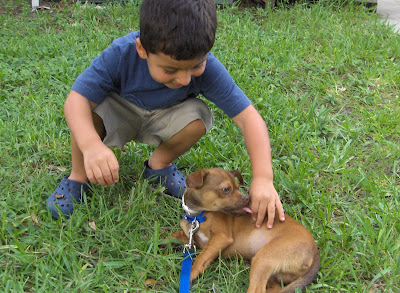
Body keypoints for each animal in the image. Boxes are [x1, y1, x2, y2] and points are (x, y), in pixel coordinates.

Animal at [170, 168, 320, 290]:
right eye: (226, 189)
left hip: (263, 259)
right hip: (272, 273)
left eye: (238, 187)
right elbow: (173, 236)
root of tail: (315, 252)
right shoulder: (191, 238)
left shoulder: (221, 237)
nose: (248, 198)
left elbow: (201, 257)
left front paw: (191, 273)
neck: (197, 216)